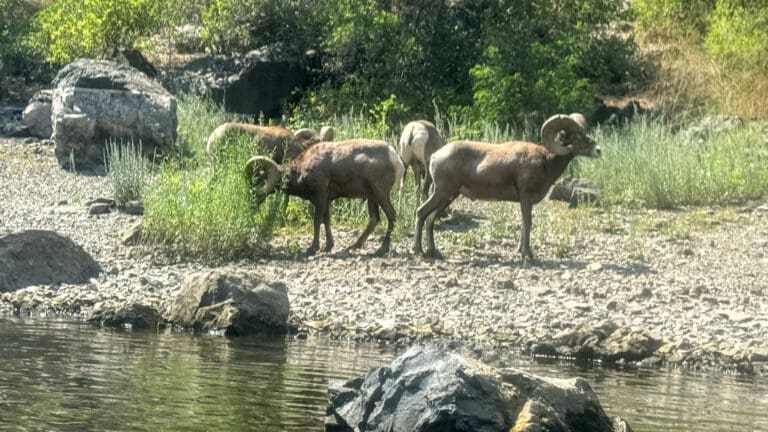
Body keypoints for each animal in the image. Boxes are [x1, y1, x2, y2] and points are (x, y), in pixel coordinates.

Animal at [245, 139, 405, 255]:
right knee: (374, 219)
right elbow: (326, 221)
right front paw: (328, 247)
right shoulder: (327, 201)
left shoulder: (320, 197)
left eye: (259, 179)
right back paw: (353, 247)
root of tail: (396, 160)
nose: (251, 200)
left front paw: (312, 248)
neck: (301, 172)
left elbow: (317, 221)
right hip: (372, 197)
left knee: (391, 215)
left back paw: (381, 249)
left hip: (380, 194)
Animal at [413, 113, 600, 262]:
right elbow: (528, 223)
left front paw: (520, 251)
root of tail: (435, 156)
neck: (546, 160)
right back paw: (418, 251)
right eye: (575, 136)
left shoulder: (524, 201)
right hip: (442, 193)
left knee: (430, 219)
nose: (598, 150)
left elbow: (524, 224)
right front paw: (528, 256)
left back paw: (434, 252)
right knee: (421, 213)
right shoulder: (526, 197)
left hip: (449, 196)